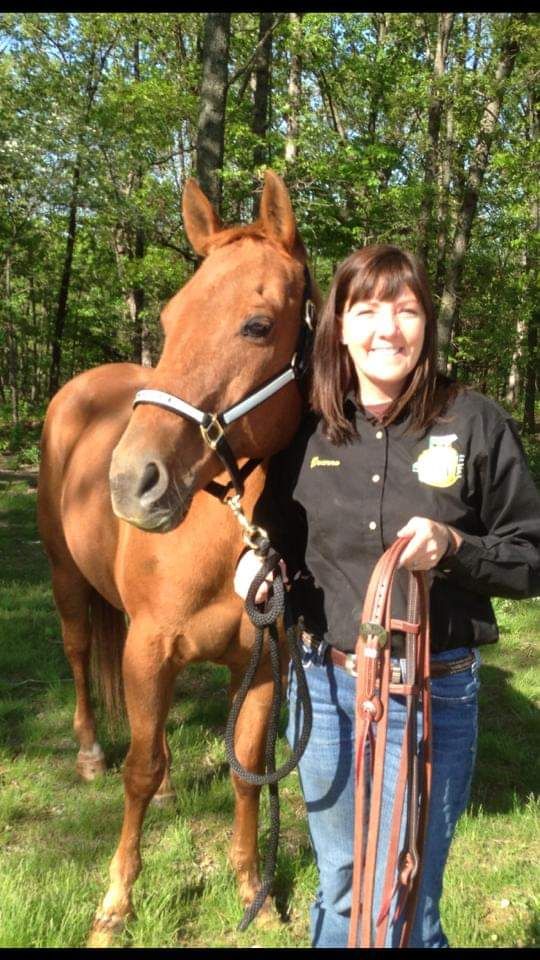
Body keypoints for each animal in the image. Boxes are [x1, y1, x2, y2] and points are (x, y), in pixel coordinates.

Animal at [37, 170, 316, 946]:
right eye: (168, 319)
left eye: (258, 325)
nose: (132, 480)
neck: (227, 539)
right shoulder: (150, 645)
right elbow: (135, 772)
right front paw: (115, 905)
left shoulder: (264, 663)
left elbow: (247, 769)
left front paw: (255, 891)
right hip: (67, 583)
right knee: (81, 659)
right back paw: (89, 751)